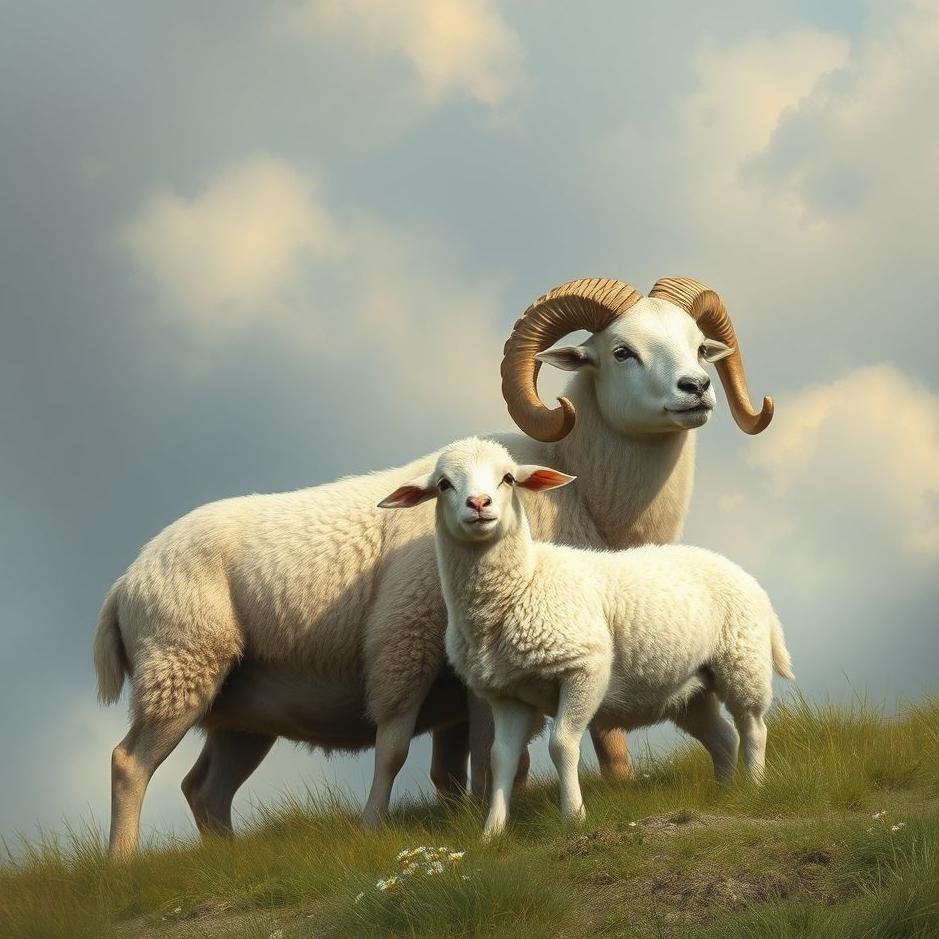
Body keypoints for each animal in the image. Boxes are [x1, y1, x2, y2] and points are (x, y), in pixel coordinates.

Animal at [380, 436, 793, 838]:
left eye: (508, 478)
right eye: (443, 485)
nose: (479, 504)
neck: (522, 583)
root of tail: (748, 579)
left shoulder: (585, 669)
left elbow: (562, 744)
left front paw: (574, 817)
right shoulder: (507, 694)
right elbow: (501, 758)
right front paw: (492, 834)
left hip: (742, 660)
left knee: (753, 727)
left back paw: (753, 789)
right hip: (690, 689)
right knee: (723, 737)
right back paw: (724, 795)